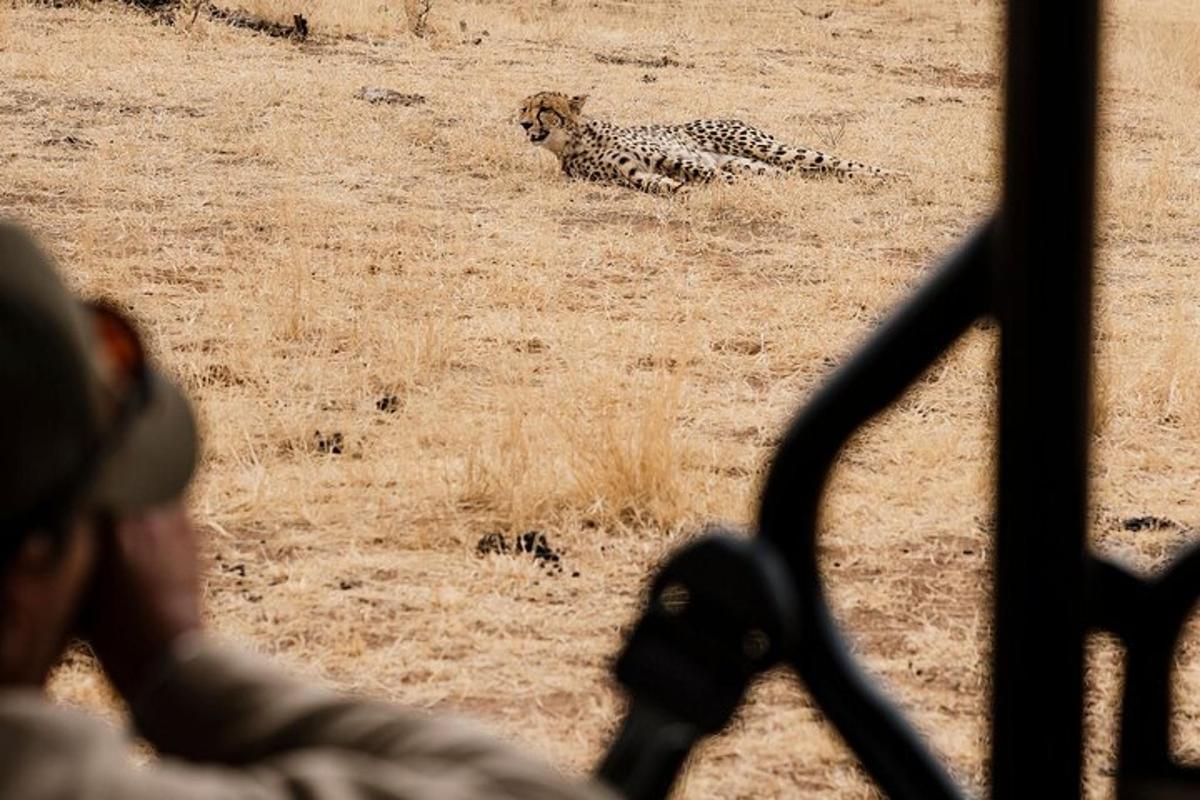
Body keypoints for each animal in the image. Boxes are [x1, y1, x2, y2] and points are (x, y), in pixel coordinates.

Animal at [516, 91, 892, 195]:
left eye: (545, 108)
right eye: (524, 107)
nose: (524, 124)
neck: (572, 142)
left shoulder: (667, 157)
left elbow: (704, 173)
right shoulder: (635, 175)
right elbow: (666, 185)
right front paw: (685, 192)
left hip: (763, 147)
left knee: (836, 161)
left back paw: (891, 176)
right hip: (754, 163)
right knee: (795, 174)